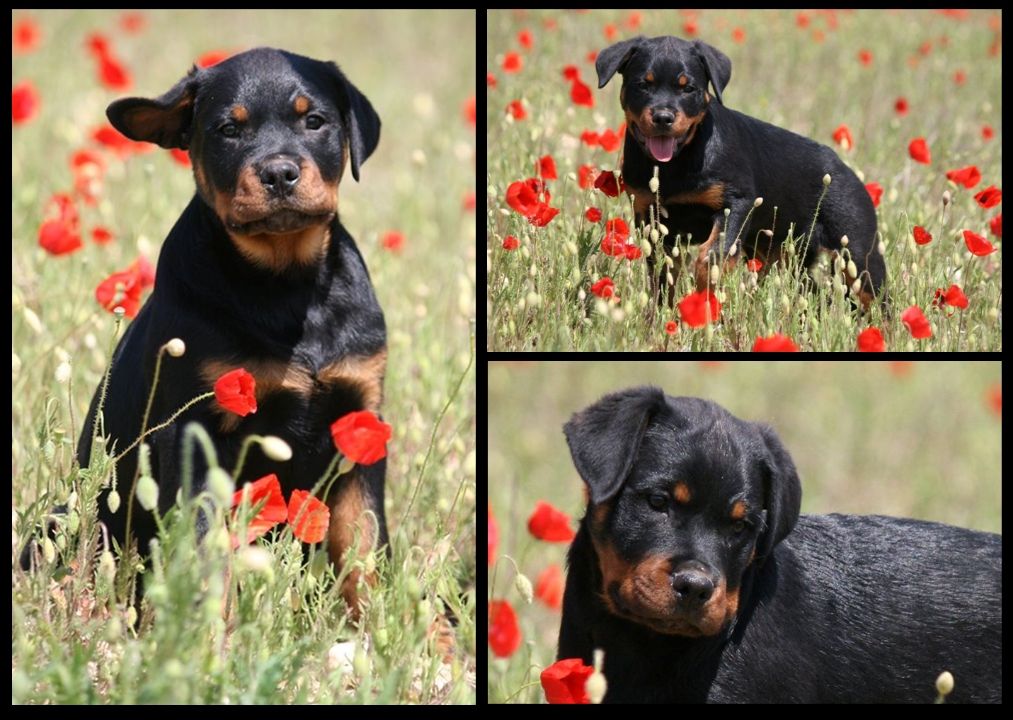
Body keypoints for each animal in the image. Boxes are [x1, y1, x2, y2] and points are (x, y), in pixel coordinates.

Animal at [79, 46, 384, 607]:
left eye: (314, 121)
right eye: (228, 130)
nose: (280, 173)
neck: (285, 284)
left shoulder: (361, 425)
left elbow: (366, 552)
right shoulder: (195, 435)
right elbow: (205, 557)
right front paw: (202, 628)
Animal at [591, 37, 887, 307]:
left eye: (688, 88)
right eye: (643, 85)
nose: (663, 117)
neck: (675, 162)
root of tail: (845, 169)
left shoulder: (737, 202)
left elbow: (713, 254)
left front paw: (706, 296)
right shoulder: (649, 214)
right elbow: (663, 274)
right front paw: (660, 315)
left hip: (857, 250)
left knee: (878, 298)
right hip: (784, 254)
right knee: (809, 289)